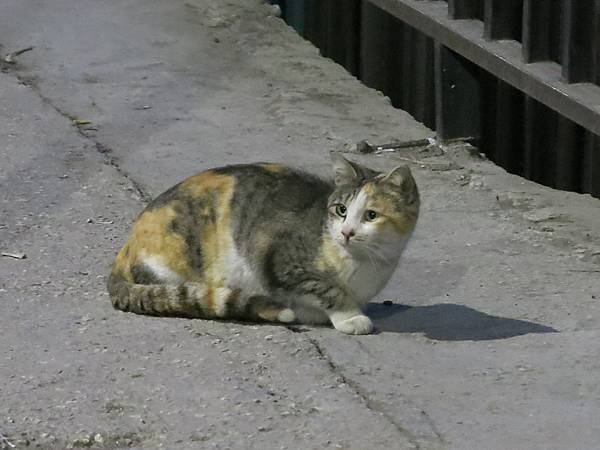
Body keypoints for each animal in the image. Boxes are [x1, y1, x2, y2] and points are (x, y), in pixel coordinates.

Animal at [106, 155, 418, 334]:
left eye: (371, 215)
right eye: (341, 210)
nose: (347, 232)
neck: (363, 265)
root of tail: (126, 247)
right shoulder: (273, 255)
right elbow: (325, 288)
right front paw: (350, 317)